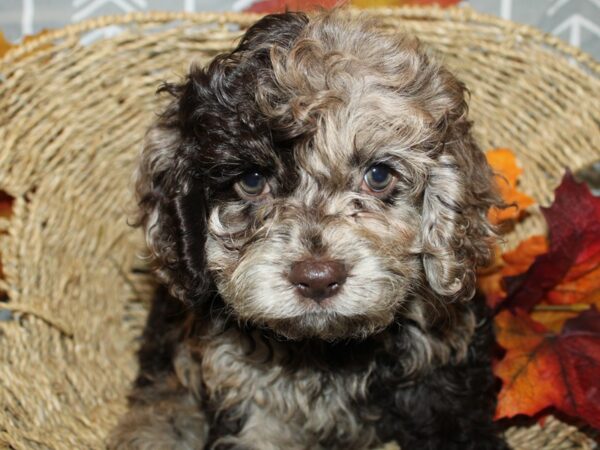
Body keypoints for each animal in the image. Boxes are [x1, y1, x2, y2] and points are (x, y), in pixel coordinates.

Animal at [108, 7, 506, 450]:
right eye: (252, 180)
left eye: (379, 175)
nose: (317, 278)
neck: (324, 348)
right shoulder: (246, 391)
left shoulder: (442, 372)